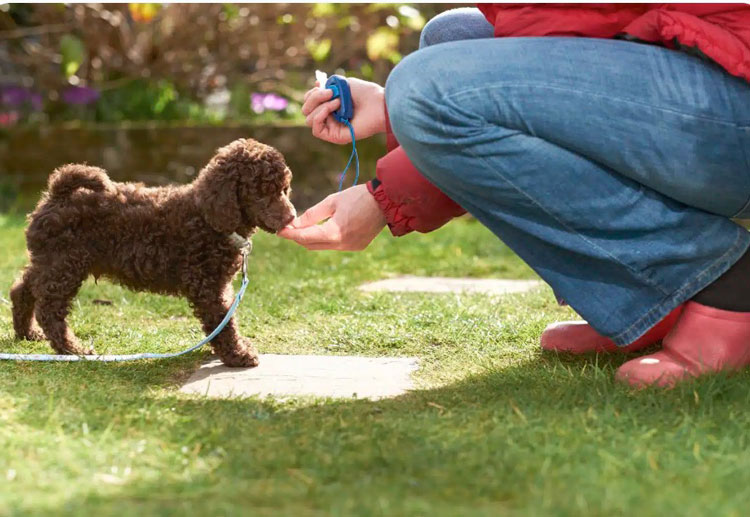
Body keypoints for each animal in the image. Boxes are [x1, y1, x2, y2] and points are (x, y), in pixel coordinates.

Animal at [9, 137, 296, 366]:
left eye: (284, 189)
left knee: (22, 288)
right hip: (64, 264)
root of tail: (57, 194)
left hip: (50, 261)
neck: (207, 218)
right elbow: (222, 321)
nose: (292, 217)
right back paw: (72, 349)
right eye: (262, 192)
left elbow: (225, 318)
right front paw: (238, 354)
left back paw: (27, 333)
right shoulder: (207, 285)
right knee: (49, 309)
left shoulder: (217, 285)